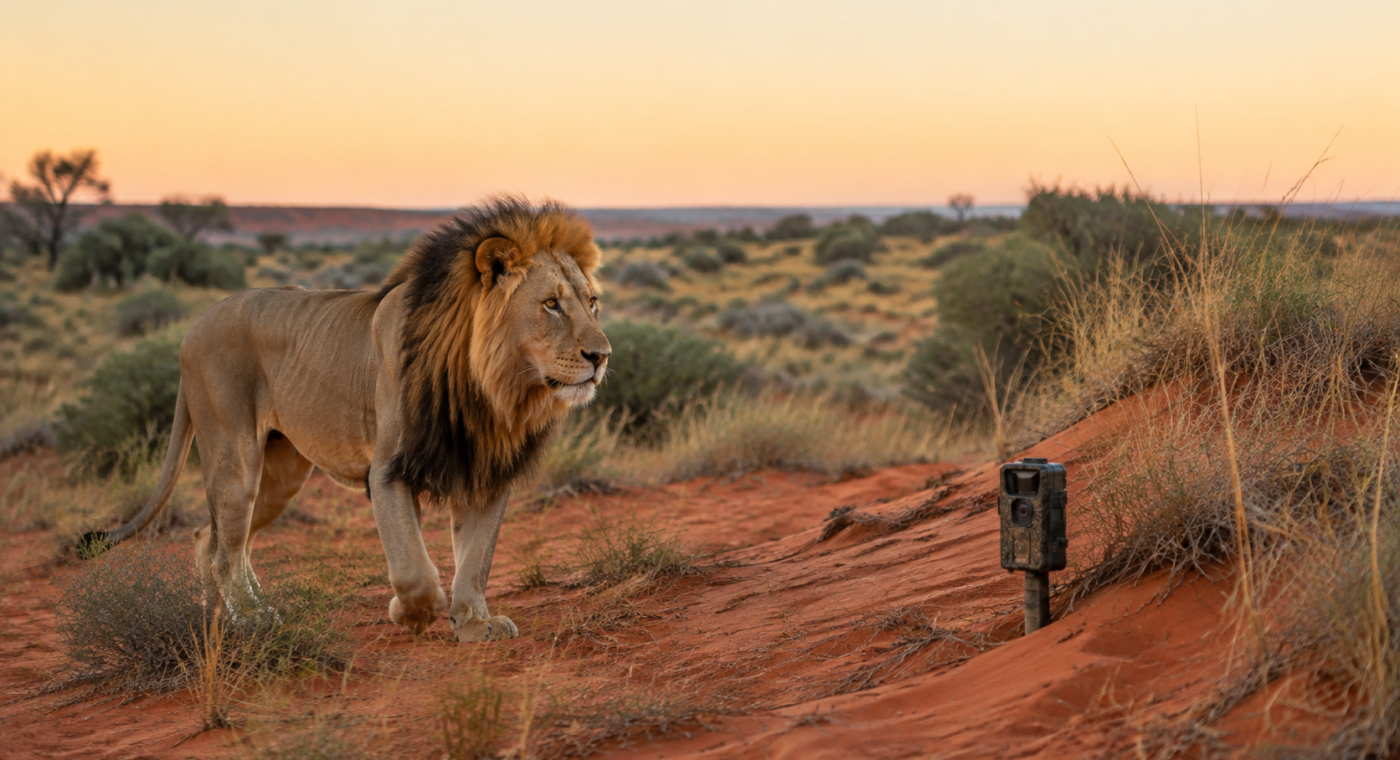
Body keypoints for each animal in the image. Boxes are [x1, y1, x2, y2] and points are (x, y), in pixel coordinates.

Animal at [86, 196, 611, 642]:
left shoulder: (484, 471)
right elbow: (415, 569)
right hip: (234, 458)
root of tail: (193, 326)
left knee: (213, 540)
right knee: (223, 548)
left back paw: (225, 614)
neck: (490, 390)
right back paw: (249, 619)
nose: (602, 356)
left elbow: (475, 560)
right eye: (550, 304)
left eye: (592, 302)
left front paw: (474, 623)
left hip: (280, 476)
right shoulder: (388, 471)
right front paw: (409, 612)